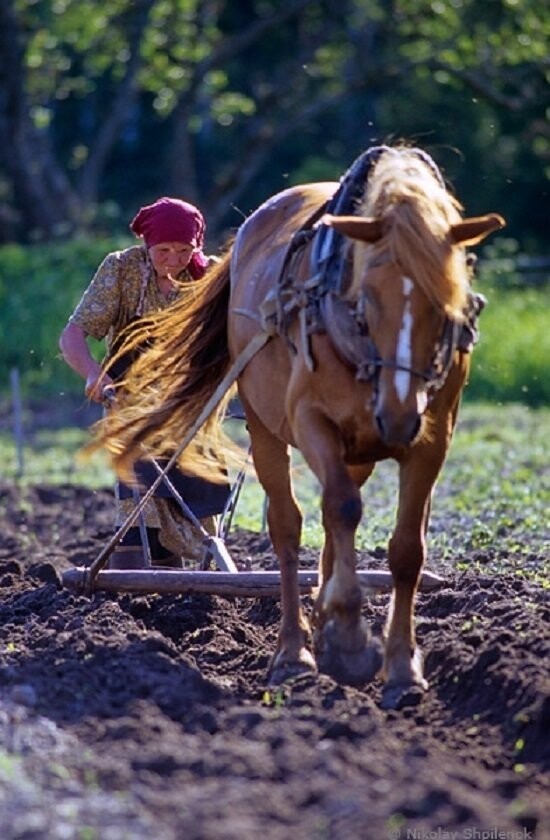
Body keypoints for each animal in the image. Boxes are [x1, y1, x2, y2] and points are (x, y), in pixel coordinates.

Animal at [98, 146, 504, 708]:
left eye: (444, 298)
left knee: (335, 519)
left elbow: (406, 548)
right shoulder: (311, 419)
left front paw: (400, 667)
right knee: (290, 525)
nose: (399, 415)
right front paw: (349, 642)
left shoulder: (433, 436)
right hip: (268, 429)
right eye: (366, 297)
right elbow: (337, 511)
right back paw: (294, 653)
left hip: (359, 447)